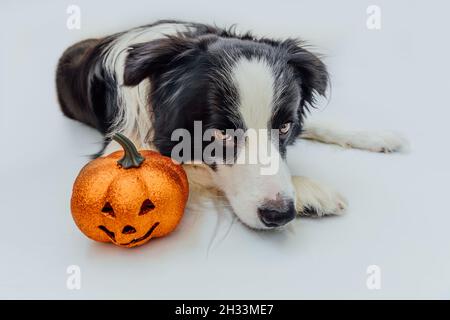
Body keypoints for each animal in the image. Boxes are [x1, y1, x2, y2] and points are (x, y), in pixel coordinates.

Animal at [55, 19, 404, 230]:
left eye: (284, 128)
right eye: (220, 134)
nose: (279, 214)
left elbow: (314, 125)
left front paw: (375, 136)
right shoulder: (120, 148)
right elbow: (191, 168)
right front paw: (310, 191)